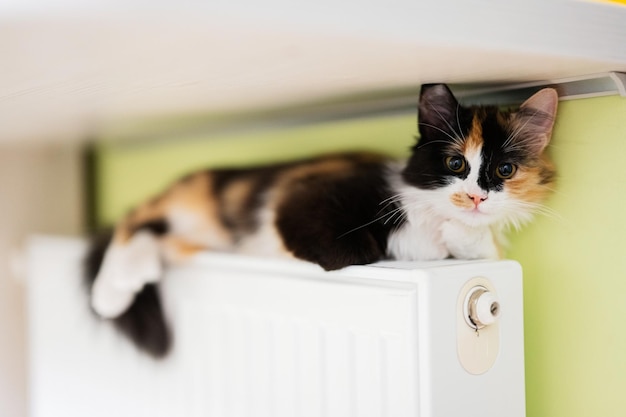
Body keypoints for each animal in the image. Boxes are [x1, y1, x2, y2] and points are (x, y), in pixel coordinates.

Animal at [83, 83, 556, 356]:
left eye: (504, 171)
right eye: (456, 163)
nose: (476, 197)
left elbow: (475, 242)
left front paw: (462, 232)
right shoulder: (302, 201)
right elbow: (360, 247)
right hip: (195, 202)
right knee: (134, 219)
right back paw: (111, 291)